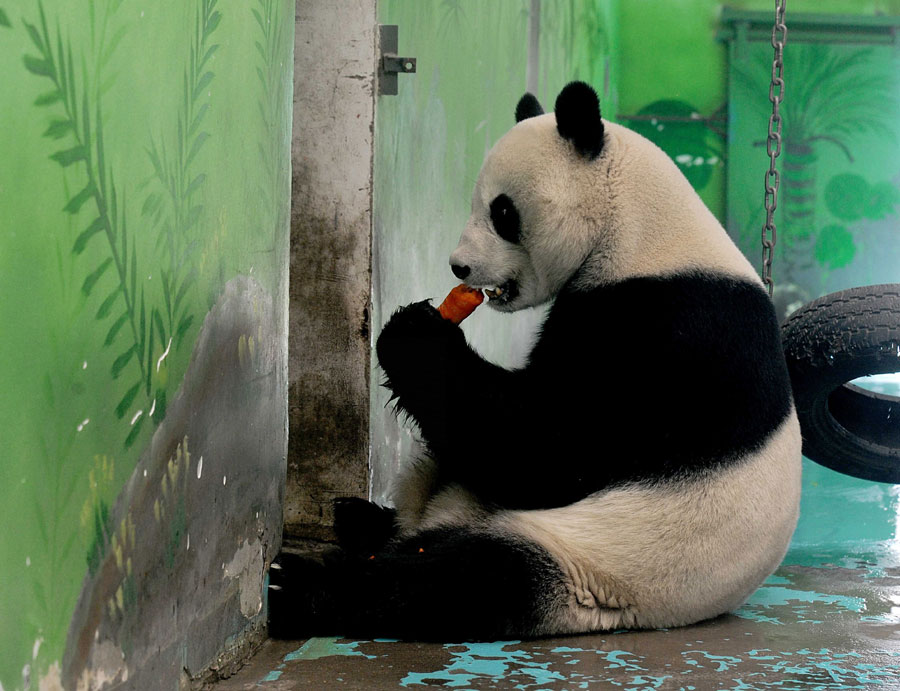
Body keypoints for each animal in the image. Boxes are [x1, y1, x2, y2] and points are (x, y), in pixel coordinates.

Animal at [268, 82, 800, 644]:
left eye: (503, 213)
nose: (459, 267)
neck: (640, 229)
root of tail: (435, 520)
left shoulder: (673, 332)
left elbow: (548, 449)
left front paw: (414, 335)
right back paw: (359, 518)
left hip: (594, 562)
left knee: (464, 579)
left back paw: (300, 588)